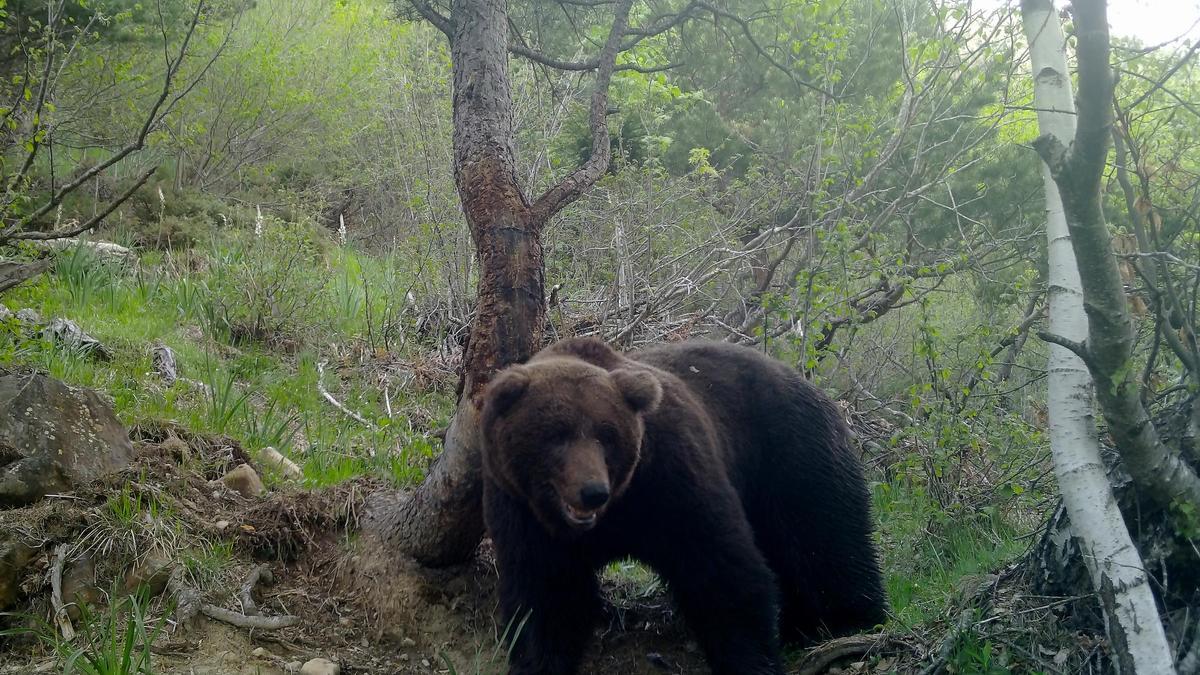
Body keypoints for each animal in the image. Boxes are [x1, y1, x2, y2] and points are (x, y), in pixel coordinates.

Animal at [480, 336, 892, 672]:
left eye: (606, 435)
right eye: (556, 435)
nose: (592, 491)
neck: (613, 516)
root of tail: (812, 386)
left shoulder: (670, 480)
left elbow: (721, 569)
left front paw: (751, 660)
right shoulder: (523, 512)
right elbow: (545, 595)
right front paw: (538, 661)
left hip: (792, 455)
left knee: (822, 540)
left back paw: (847, 621)